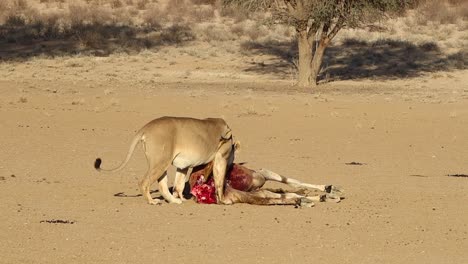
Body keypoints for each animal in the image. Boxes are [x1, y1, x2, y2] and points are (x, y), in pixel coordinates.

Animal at [93, 116, 234, 205]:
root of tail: (146, 127)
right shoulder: (221, 158)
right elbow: (220, 182)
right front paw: (224, 201)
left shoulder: (183, 166)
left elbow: (179, 185)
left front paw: (181, 198)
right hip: (161, 161)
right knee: (144, 182)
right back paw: (152, 201)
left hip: (162, 163)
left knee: (162, 186)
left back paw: (174, 201)